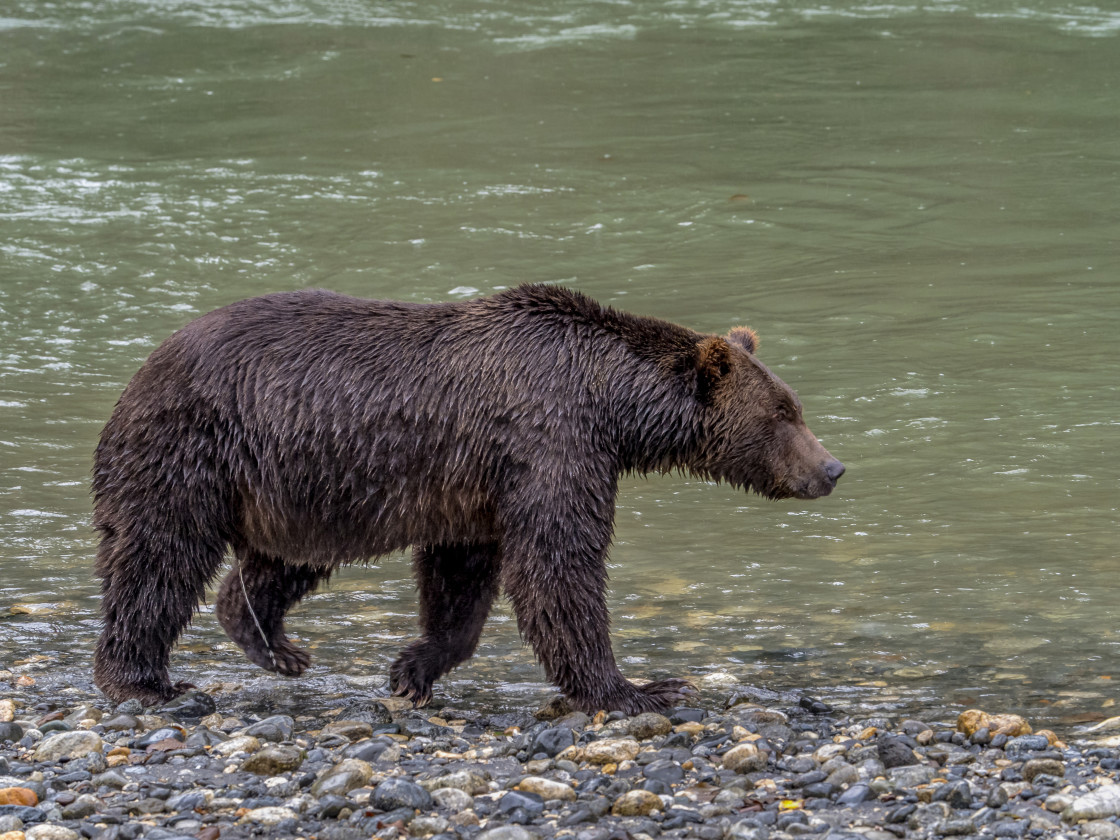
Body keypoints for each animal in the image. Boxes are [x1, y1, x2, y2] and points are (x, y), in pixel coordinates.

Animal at [91, 286, 842, 712]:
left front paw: (411, 668)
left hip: (303, 488)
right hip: (195, 448)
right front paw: (639, 688)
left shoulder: (478, 484)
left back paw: (275, 645)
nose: (832, 468)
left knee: (280, 562)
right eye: (784, 414)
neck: (611, 405)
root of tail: (140, 370)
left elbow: (464, 575)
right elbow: (557, 566)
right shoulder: (551, 440)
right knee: (159, 555)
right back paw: (140, 678)